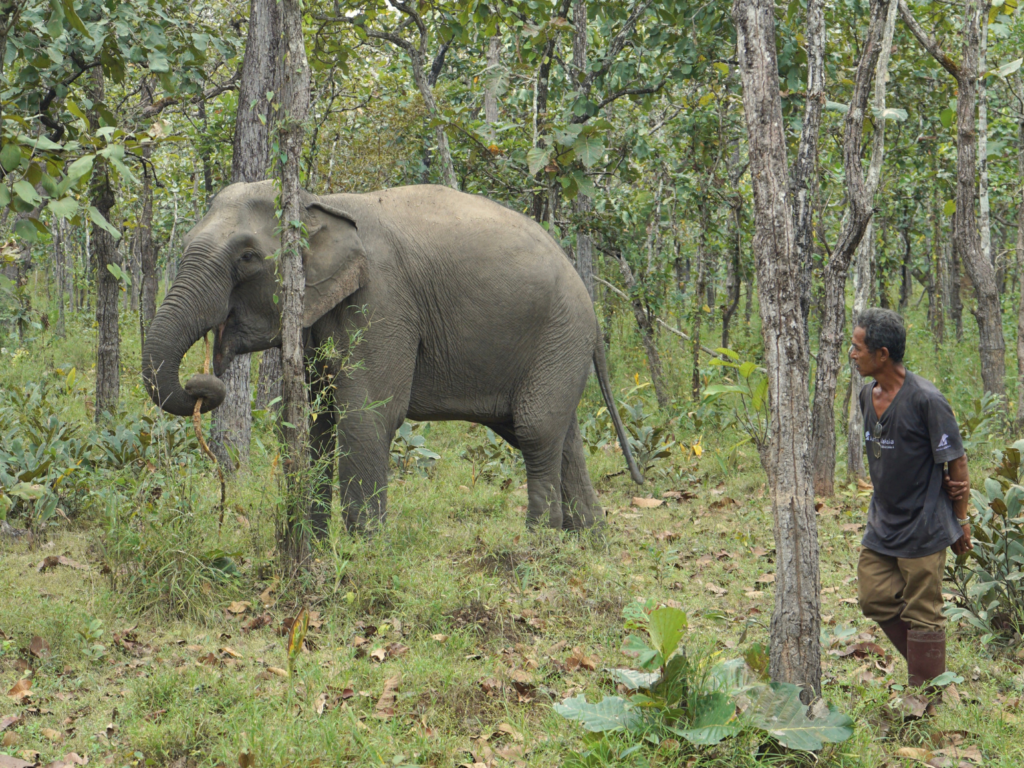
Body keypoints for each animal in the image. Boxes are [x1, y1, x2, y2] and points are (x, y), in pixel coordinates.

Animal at [141, 183, 643, 536]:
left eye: (247, 256)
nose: (202, 384)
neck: (319, 199)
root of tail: (588, 300)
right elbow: (319, 420)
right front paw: (317, 544)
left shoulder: (382, 300)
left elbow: (367, 415)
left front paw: (364, 557)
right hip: (557, 347)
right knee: (560, 435)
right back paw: (589, 543)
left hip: (560, 333)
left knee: (535, 431)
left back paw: (538, 546)